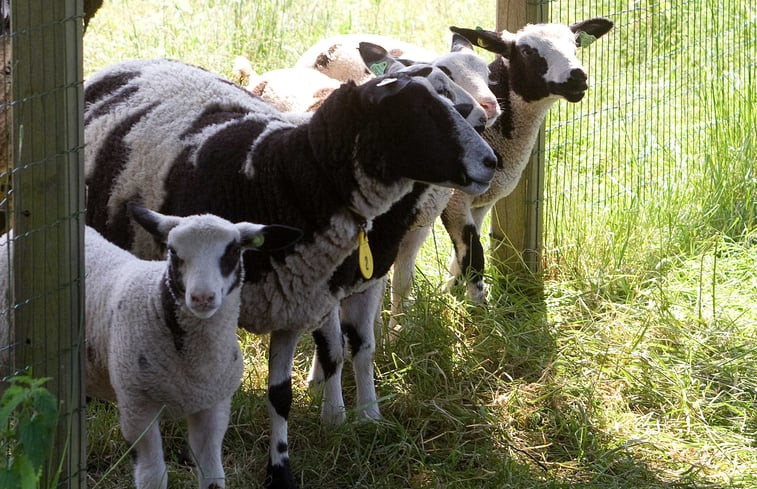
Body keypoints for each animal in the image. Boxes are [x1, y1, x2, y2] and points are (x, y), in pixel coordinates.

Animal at [0, 203, 302, 488]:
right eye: (173, 251)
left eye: (233, 251)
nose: (202, 297)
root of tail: (12, 233)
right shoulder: (137, 407)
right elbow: (152, 476)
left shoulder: (213, 405)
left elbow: (213, 475)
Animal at [82, 58, 496, 488]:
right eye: (417, 112)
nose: (491, 162)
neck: (277, 179)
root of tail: (130, 63)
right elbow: (331, 353)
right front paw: (336, 415)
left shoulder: (298, 306)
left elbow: (289, 390)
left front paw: (290, 462)